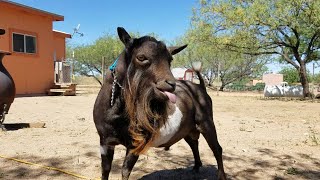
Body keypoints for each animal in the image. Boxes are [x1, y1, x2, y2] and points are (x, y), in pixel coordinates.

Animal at [92, 27, 228, 179]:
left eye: (170, 60)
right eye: (141, 57)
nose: (171, 84)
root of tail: (200, 87)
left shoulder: (136, 143)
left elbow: (125, 171)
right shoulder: (105, 141)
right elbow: (105, 170)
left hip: (206, 122)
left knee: (217, 148)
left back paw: (220, 175)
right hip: (188, 128)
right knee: (193, 143)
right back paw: (196, 167)